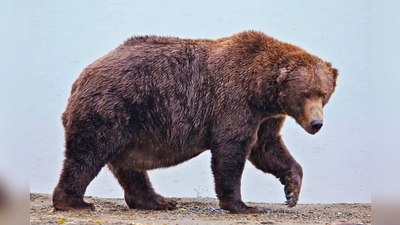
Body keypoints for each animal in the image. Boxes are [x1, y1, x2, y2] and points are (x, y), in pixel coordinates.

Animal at [52, 29, 338, 213]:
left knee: (129, 167)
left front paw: (292, 191)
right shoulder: (233, 101)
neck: (260, 91)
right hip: (112, 108)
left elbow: (267, 147)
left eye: (323, 94)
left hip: (131, 126)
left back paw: (158, 201)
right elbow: (231, 150)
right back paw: (75, 202)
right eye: (305, 93)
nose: (316, 124)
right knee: (87, 154)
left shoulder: (266, 116)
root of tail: (81, 78)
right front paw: (243, 205)